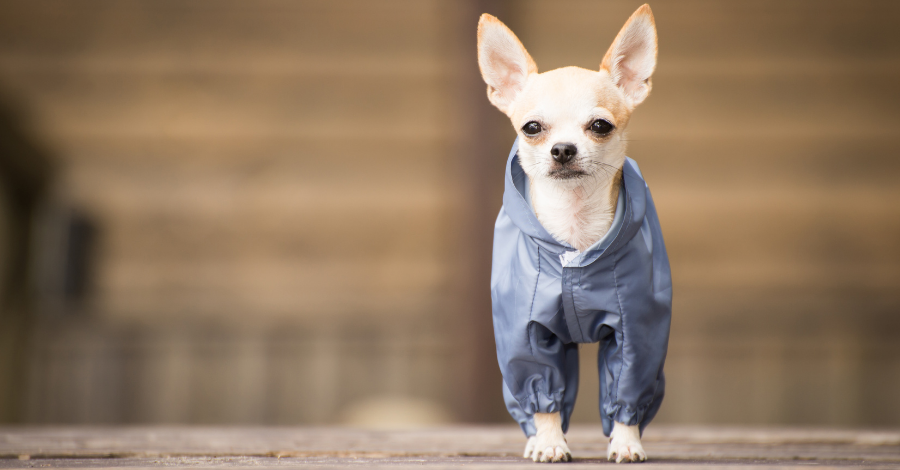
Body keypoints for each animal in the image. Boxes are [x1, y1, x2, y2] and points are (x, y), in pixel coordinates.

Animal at [482, 3, 672, 464]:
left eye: (600, 126)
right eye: (532, 128)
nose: (563, 149)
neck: (575, 236)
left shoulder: (636, 334)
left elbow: (626, 391)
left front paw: (626, 441)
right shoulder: (527, 336)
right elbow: (544, 395)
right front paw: (549, 441)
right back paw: (536, 438)